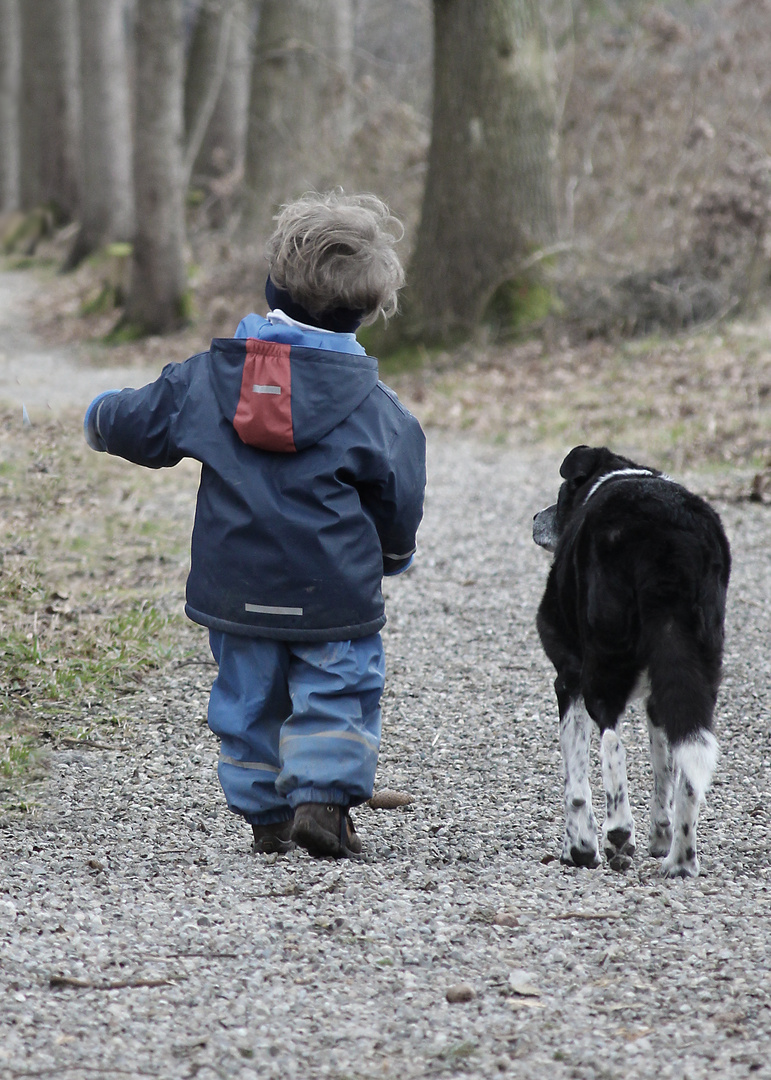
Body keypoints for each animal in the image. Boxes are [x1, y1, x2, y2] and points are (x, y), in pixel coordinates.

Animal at [531, 447, 729, 876]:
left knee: (611, 743)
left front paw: (579, 849)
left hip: (602, 668)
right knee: (689, 770)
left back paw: (618, 834)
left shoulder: (567, 678)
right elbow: (664, 771)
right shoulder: (658, 696)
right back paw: (680, 860)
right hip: (698, 668)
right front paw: (659, 837)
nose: (536, 518)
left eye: (561, 493)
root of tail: (668, 539)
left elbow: (576, 784)